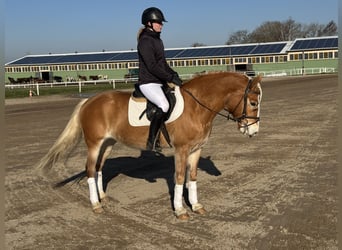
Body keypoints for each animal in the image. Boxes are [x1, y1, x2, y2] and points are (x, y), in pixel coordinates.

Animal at [36, 71, 262, 220]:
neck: (196, 107)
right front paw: (180, 210)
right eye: (253, 102)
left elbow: (193, 177)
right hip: (94, 144)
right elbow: (180, 177)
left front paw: (196, 206)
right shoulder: (181, 149)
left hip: (108, 144)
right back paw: (96, 205)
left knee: (99, 168)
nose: (253, 131)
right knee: (91, 169)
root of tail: (89, 101)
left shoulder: (197, 149)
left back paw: (103, 197)